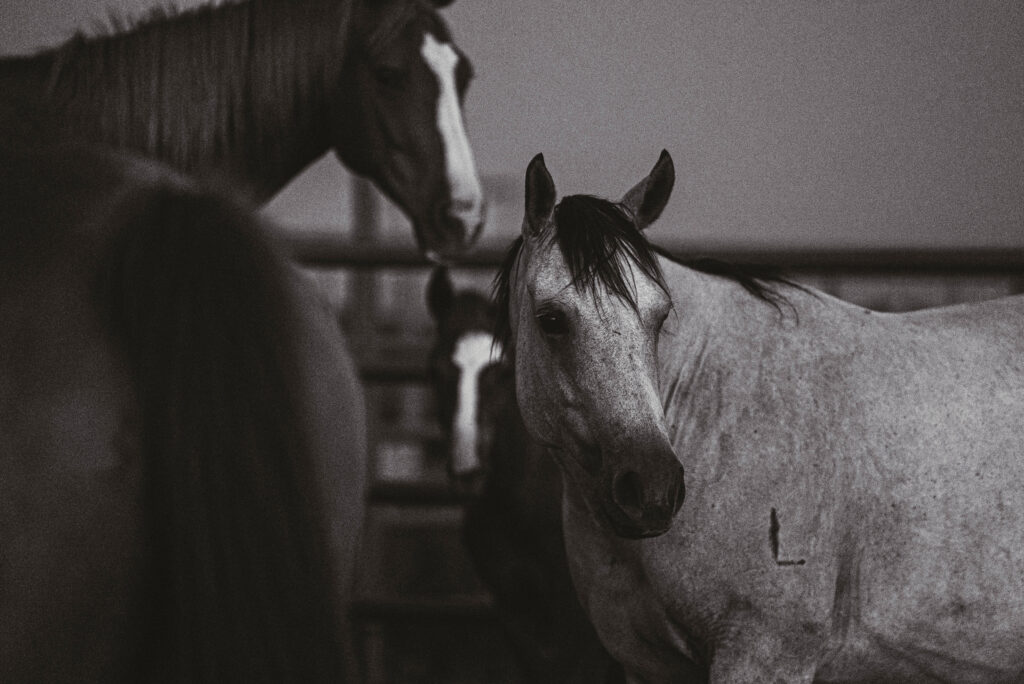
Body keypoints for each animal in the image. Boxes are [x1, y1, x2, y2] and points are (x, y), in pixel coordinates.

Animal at [494, 150, 1024, 682]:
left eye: (662, 317)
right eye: (551, 320)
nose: (652, 489)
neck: (708, 414)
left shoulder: (766, 653)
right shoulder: (648, 666)